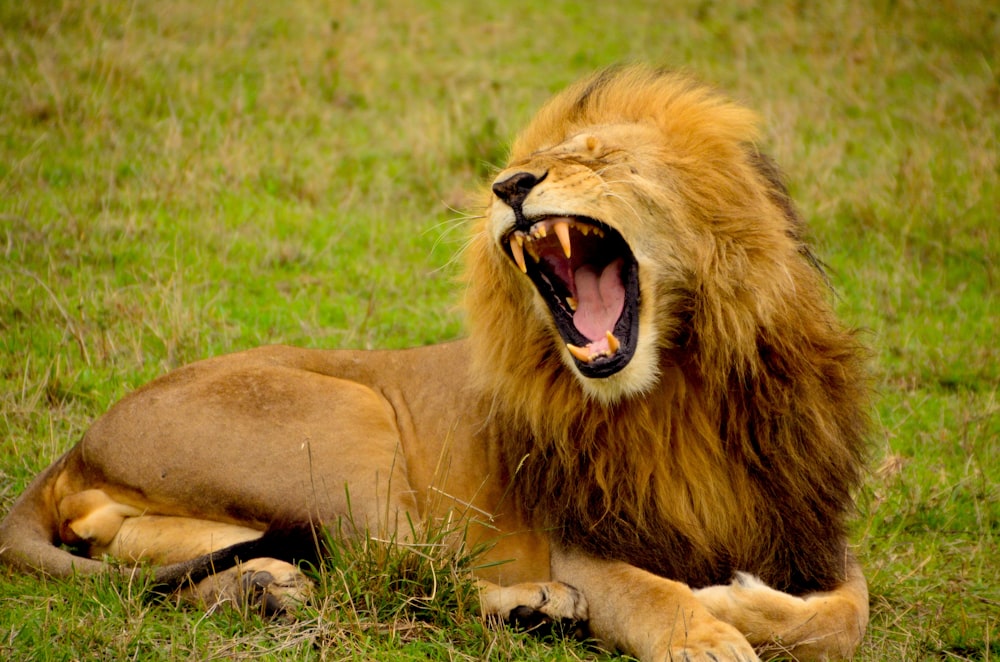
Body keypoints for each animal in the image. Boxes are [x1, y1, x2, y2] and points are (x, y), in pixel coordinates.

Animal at [0, 67, 868, 662]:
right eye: (530, 161)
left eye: (600, 158)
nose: (509, 185)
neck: (679, 390)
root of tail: (81, 440)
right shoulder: (581, 540)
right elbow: (653, 593)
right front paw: (708, 630)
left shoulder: (809, 528)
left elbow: (845, 616)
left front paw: (737, 601)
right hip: (351, 424)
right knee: (400, 572)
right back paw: (532, 606)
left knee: (139, 547)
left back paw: (264, 587)